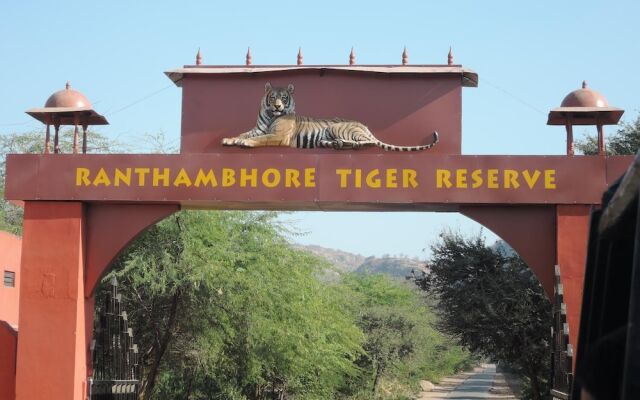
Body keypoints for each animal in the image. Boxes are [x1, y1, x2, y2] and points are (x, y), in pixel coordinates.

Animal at [221, 82, 440, 151]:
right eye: (273, 96)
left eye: (284, 97)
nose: (277, 106)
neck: (271, 115)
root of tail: (365, 125)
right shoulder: (257, 128)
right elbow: (244, 133)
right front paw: (230, 139)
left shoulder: (278, 136)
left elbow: (262, 138)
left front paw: (245, 143)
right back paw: (334, 144)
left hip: (338, 128)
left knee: (367, 143)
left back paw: (345, 144)